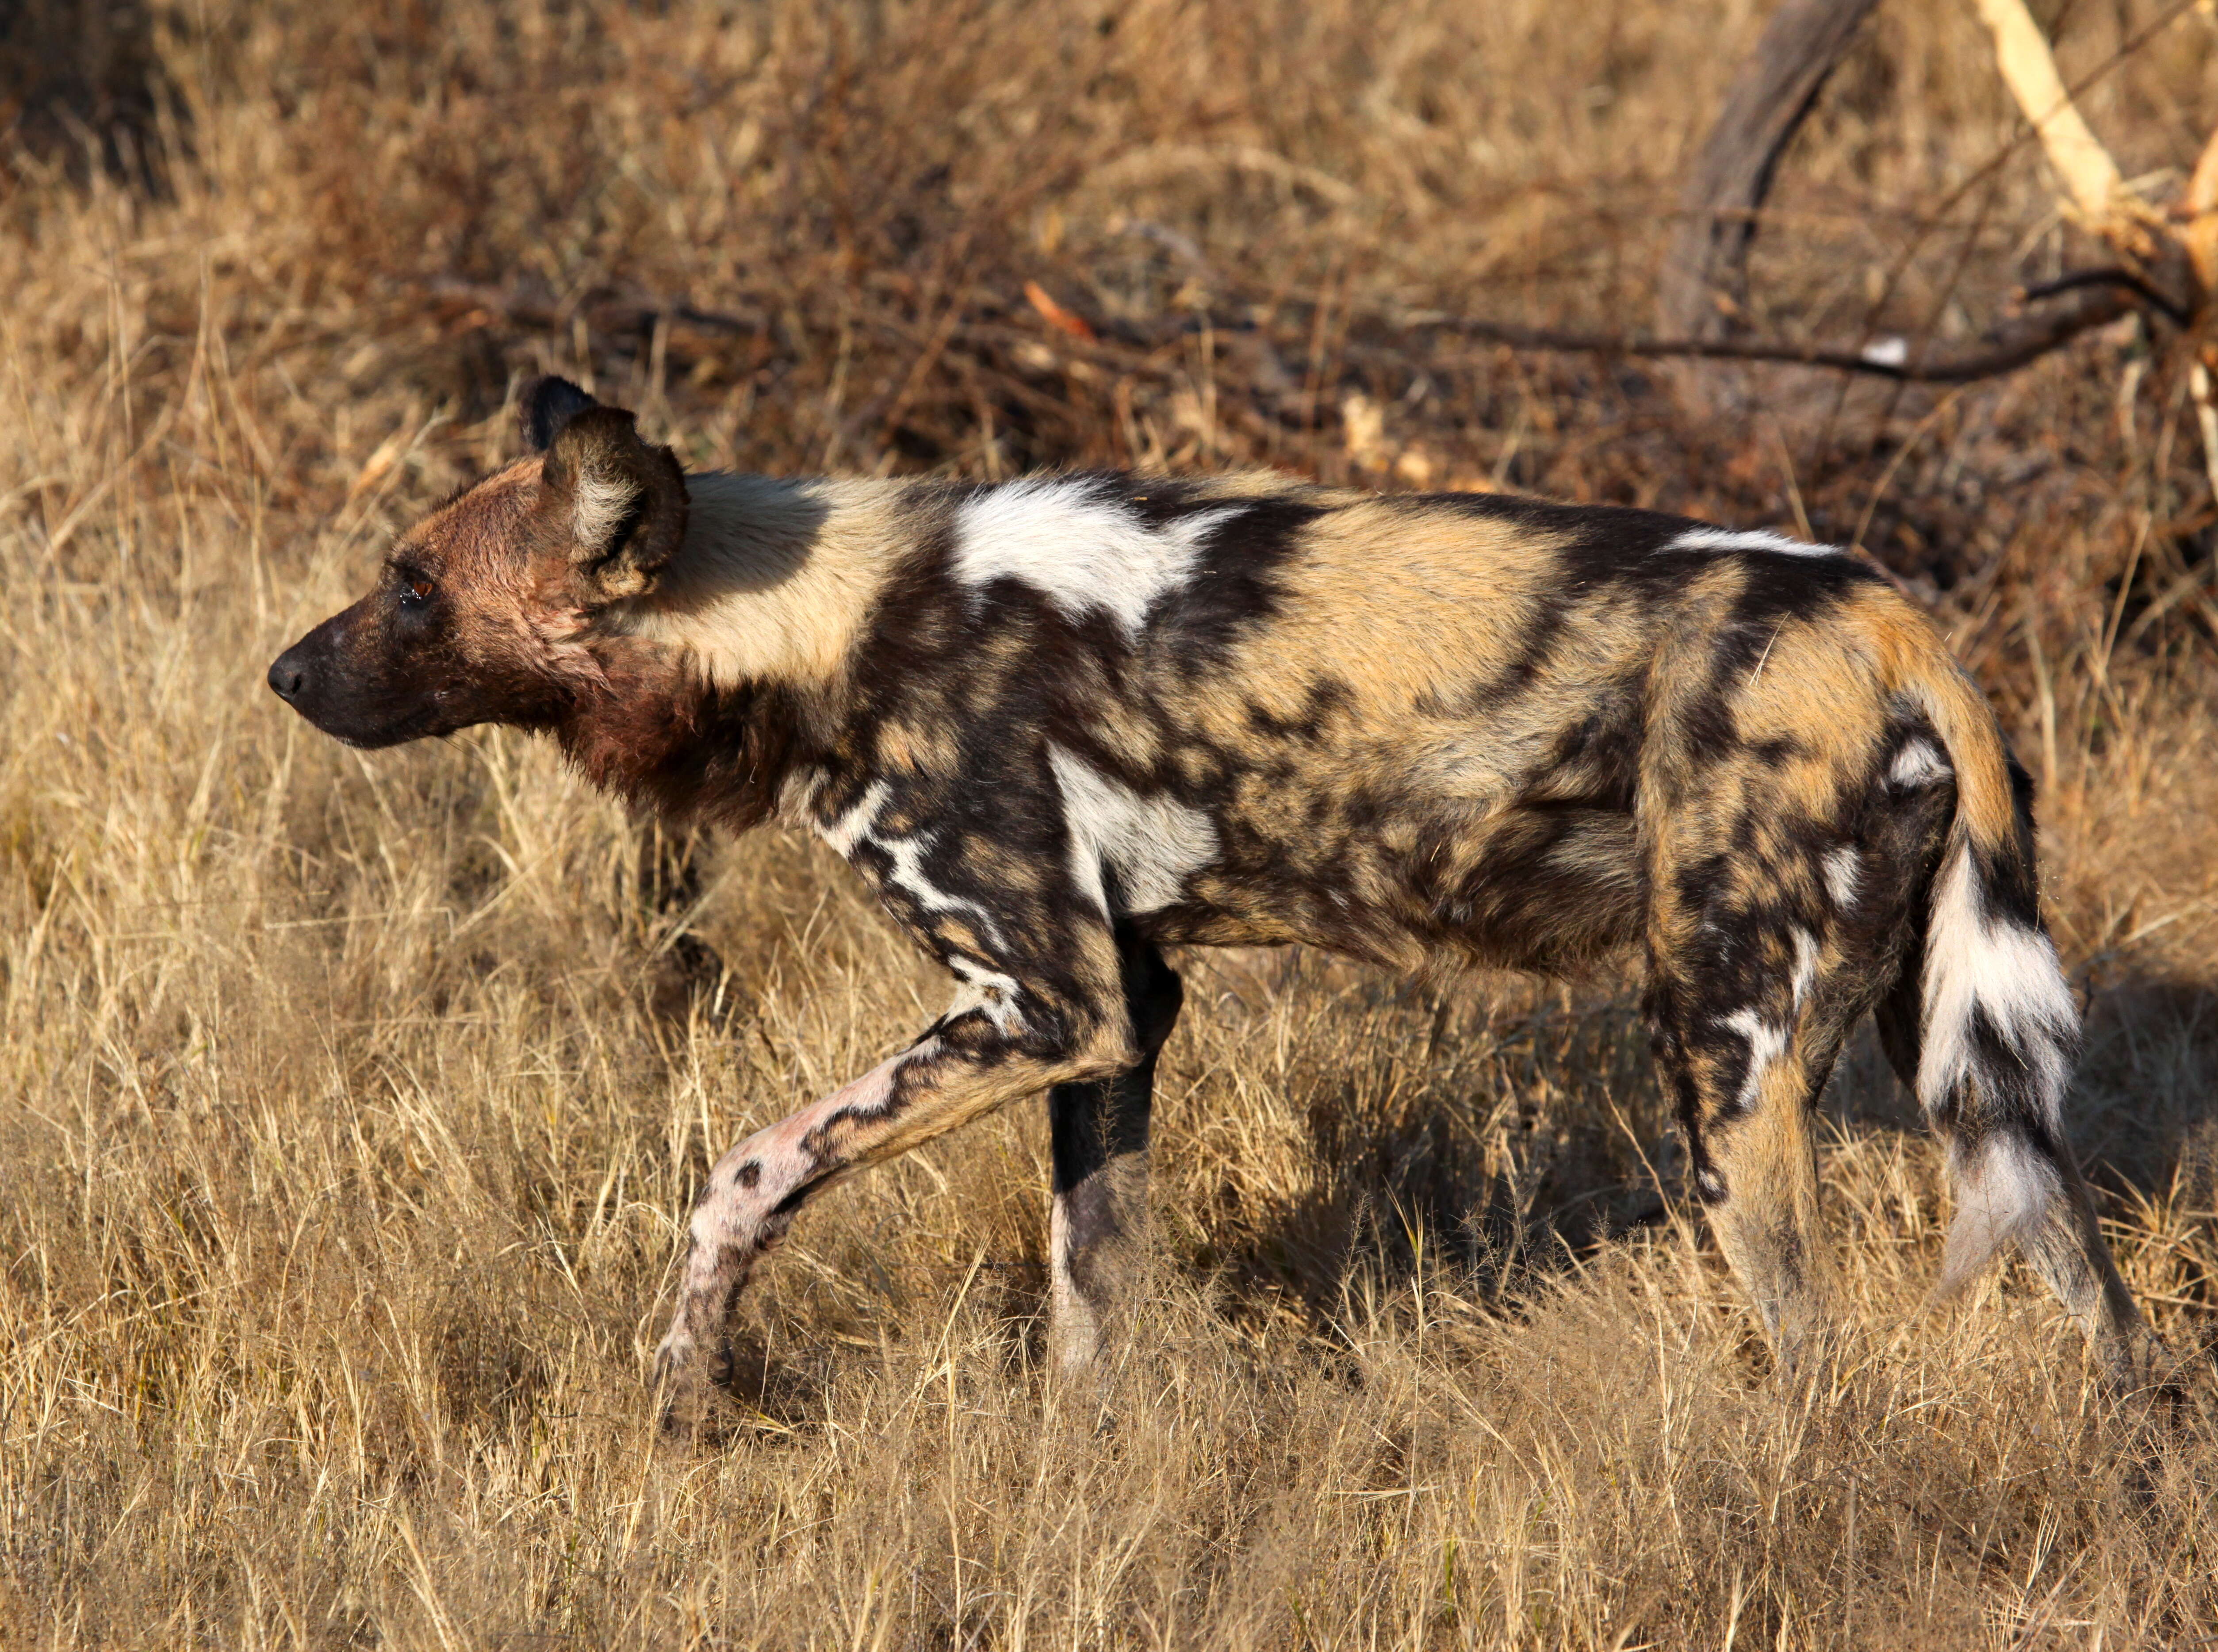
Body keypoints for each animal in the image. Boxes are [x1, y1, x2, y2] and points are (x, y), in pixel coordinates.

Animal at [268, 377, 2156, 1428]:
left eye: (415, 590)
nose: (284, 671)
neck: (822, 619)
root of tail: (1894, 621)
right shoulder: (1114, 1019)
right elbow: (1090, 1293)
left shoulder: (1037, 998)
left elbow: (742, 1173)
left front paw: (681, 1385)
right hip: (1960, 1072)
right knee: (2113, 1325)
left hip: (1719, 1053)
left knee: (1807, 1340)